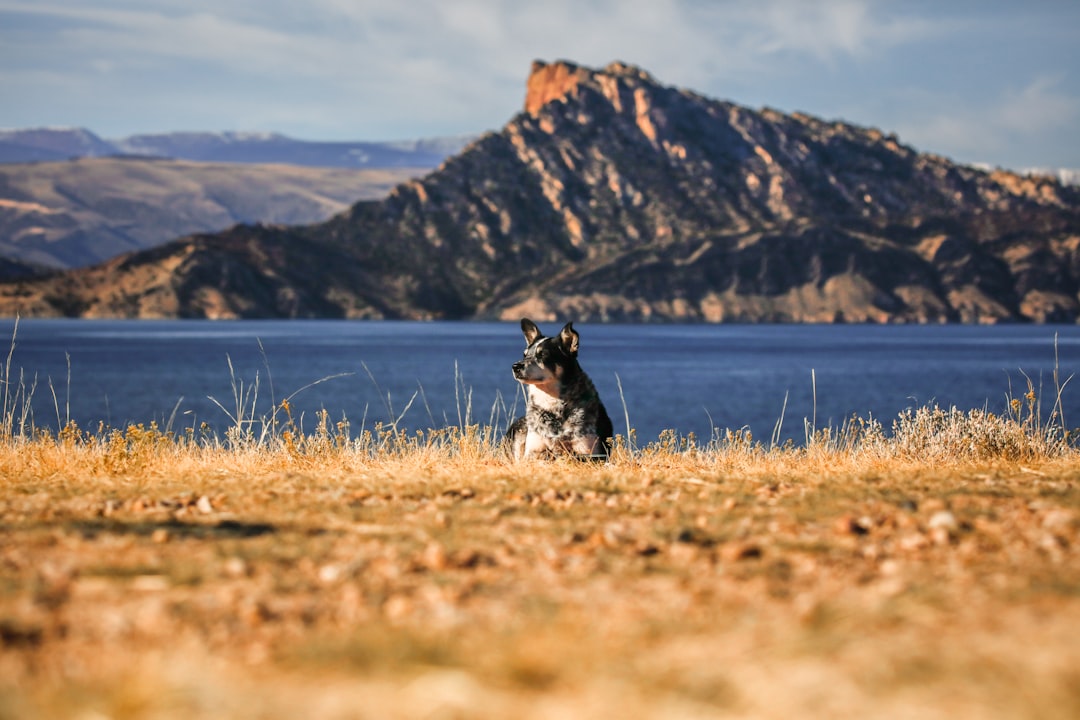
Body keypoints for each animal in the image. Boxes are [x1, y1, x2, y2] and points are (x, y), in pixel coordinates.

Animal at [503, 319, 613, 462]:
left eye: (543, 354)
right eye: (524, 354)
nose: (515, 366)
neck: (553, 406)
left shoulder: (591, 453)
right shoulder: (532, 451)